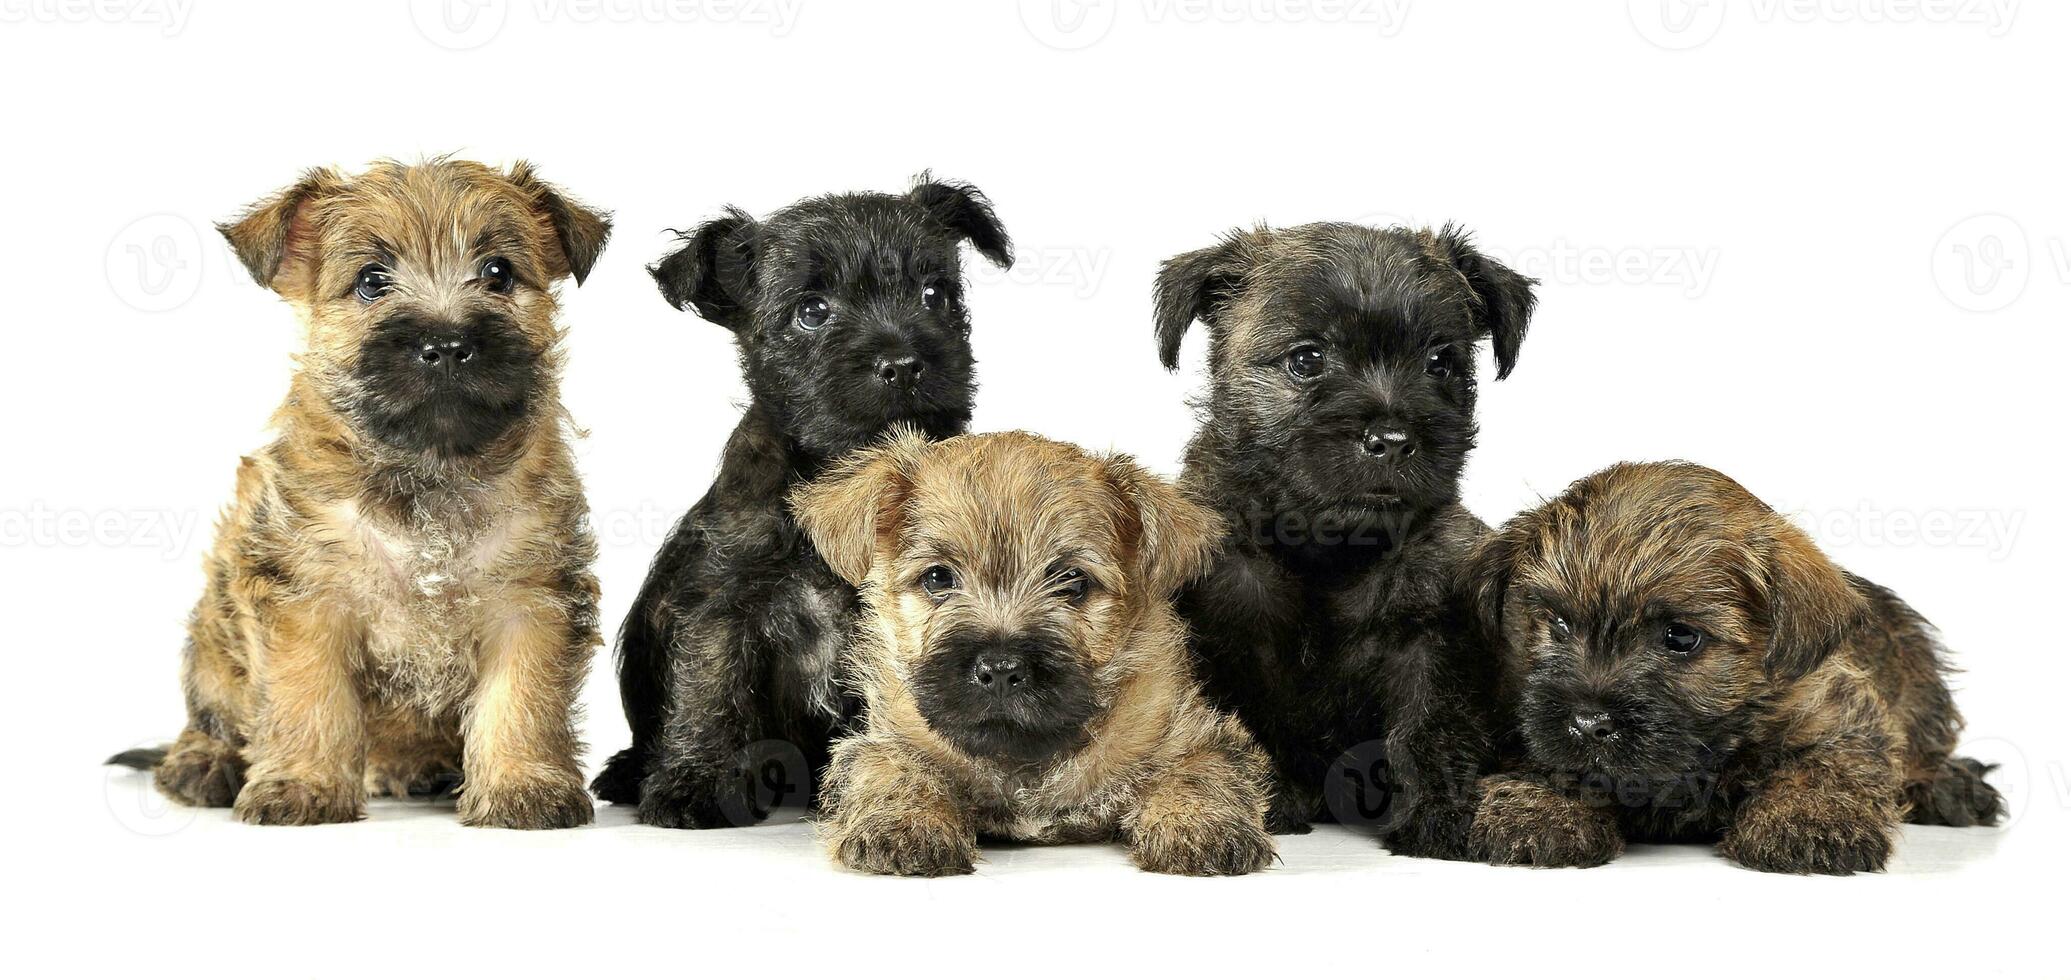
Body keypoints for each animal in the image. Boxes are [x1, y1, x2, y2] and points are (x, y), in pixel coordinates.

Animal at [592, 174, 1010, 824]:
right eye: (811, 311)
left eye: (934, 293)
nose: (904, 363)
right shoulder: (721, 604)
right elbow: (709, 688)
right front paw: (693, 783)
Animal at [791, 430, 1275, 874]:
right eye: (938, 578)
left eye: (1074, 582)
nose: (1001, 670)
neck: (1024, 758)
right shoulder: (884, 739)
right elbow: (890, 767)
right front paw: (906, 825)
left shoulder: (1192, 734)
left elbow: (1200, 768)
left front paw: (1201, 826)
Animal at [1159, 221, 1532, 853]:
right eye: (1307, 359)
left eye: (1440, 362)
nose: (1393, 439)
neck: (1327, 549)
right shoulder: (1226, 632)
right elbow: (1242, 724)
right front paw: (1272, 800)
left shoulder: (1430, 640)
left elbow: (1430, 726)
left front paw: (1434, 816)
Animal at [1466, 462, 1996, 874]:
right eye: (1557, 622)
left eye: (1681, 637)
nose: (1588, 722)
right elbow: (1551, 760)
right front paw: (1540, 809)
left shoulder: (1841, 714)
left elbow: (1829, 765)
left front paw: (1807, 820)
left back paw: (1955, 787)